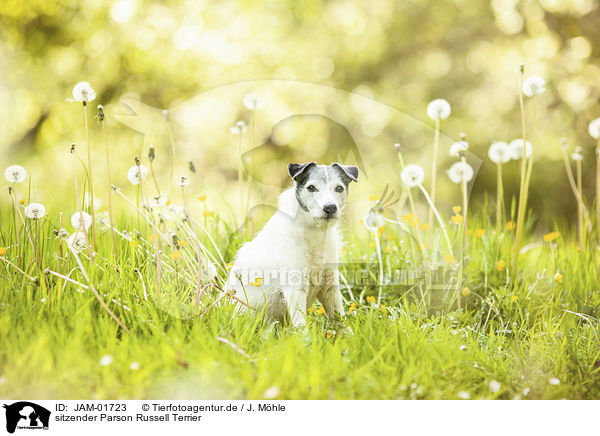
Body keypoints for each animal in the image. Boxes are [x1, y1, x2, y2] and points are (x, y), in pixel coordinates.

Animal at [224, 164, 356, 328]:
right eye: (311, 187)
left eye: (339, 188)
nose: (330, 208)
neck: (313, 231)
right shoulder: (295, 288)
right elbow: (301, 325)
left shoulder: (329, 285)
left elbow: (339, 320)